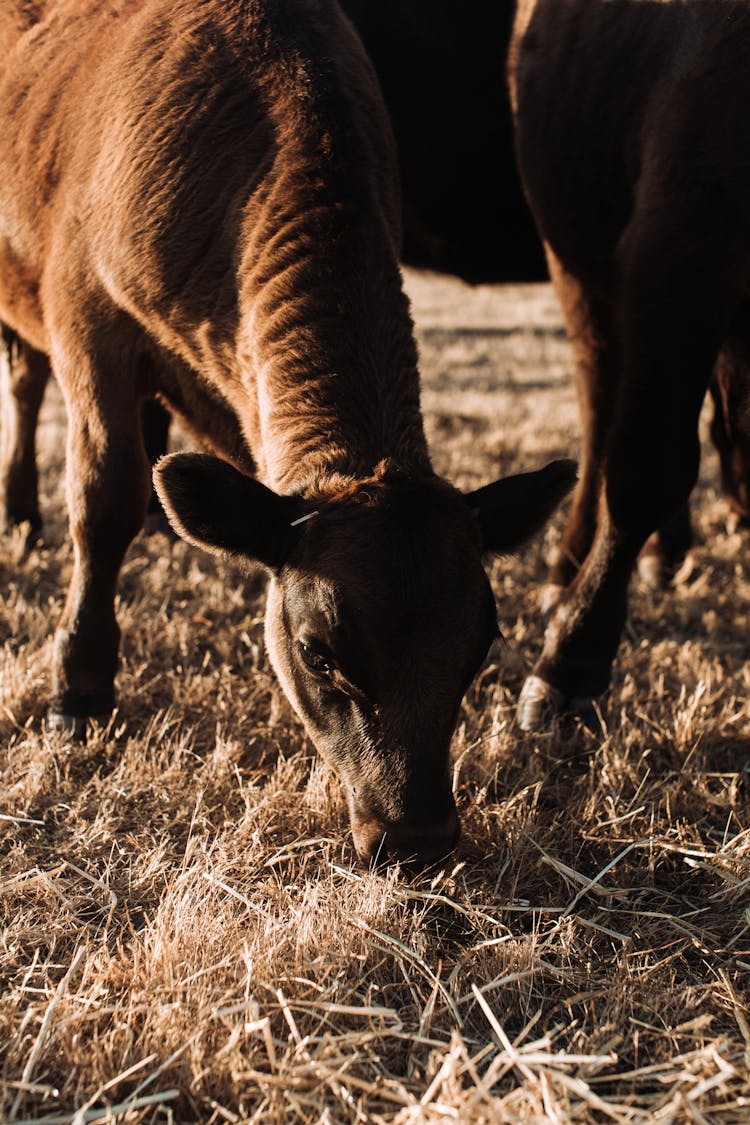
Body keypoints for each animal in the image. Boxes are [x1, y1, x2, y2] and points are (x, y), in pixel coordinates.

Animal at [0, 0, 575, 864]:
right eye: (317, 651)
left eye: (480, 646)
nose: (418, 834)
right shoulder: (88, 322)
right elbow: (103, 501)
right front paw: (79, 687)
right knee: (27, 383)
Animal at [512, 0, 750, 729]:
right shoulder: (680, 248)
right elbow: (646, 468)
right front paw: (570, 661)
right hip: (578, 262)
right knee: (602, 407)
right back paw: (568, 571)